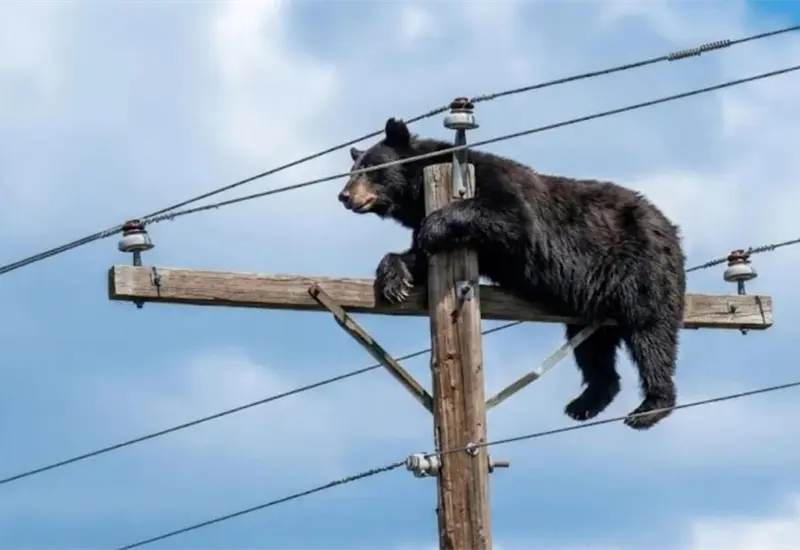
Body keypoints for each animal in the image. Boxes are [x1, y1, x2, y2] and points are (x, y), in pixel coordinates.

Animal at [337, 117, 686, 430]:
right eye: (352, 171)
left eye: (370, 169)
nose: (344, 195)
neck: (421, 189)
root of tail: (670, 228)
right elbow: (418, 258)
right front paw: (395, 280)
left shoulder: (494, 186)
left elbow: (507, 215)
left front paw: (432, 227)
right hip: (592, 301)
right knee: (592, 348)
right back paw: (586, 402)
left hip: (642, 266)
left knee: (650, 332)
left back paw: (650, 407)